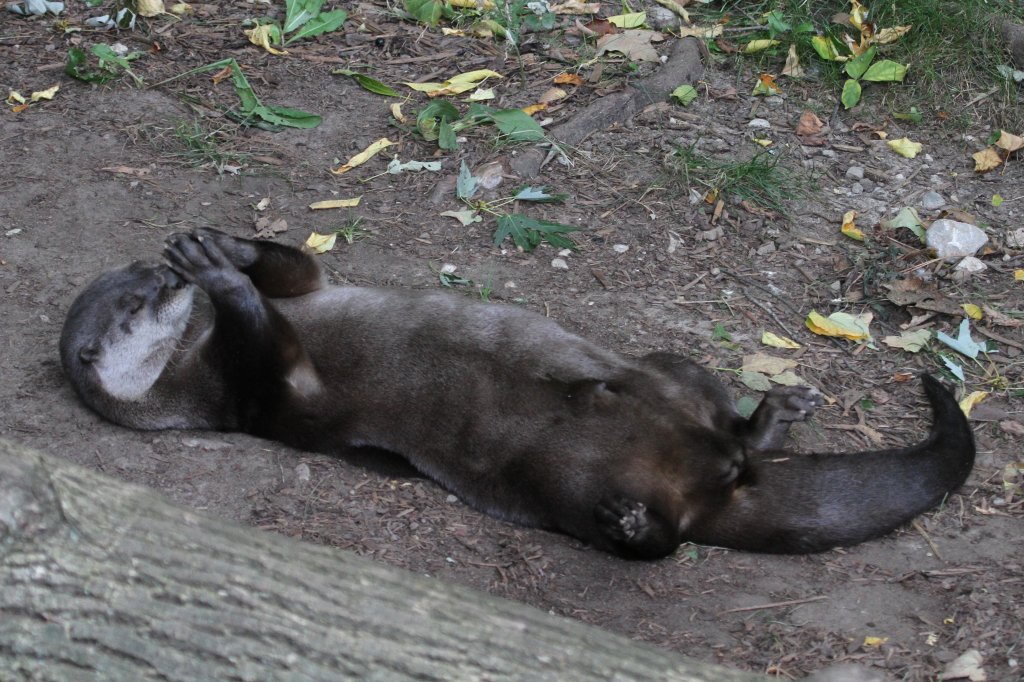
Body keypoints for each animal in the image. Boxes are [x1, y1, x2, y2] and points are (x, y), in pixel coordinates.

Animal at [59, 228, 970, 557]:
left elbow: (293, 265)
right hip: (565, 484)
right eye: (133, 307)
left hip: (672, 365)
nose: (167, 279)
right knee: (663, 543)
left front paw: (221, 250)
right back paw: (634, 522)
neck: (199, 358)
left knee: (721, 418)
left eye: (145, 280)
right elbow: (273, 351)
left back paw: (773, 417)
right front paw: (219, 274)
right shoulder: (255, 394)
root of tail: (720, 478)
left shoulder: (306, 292)